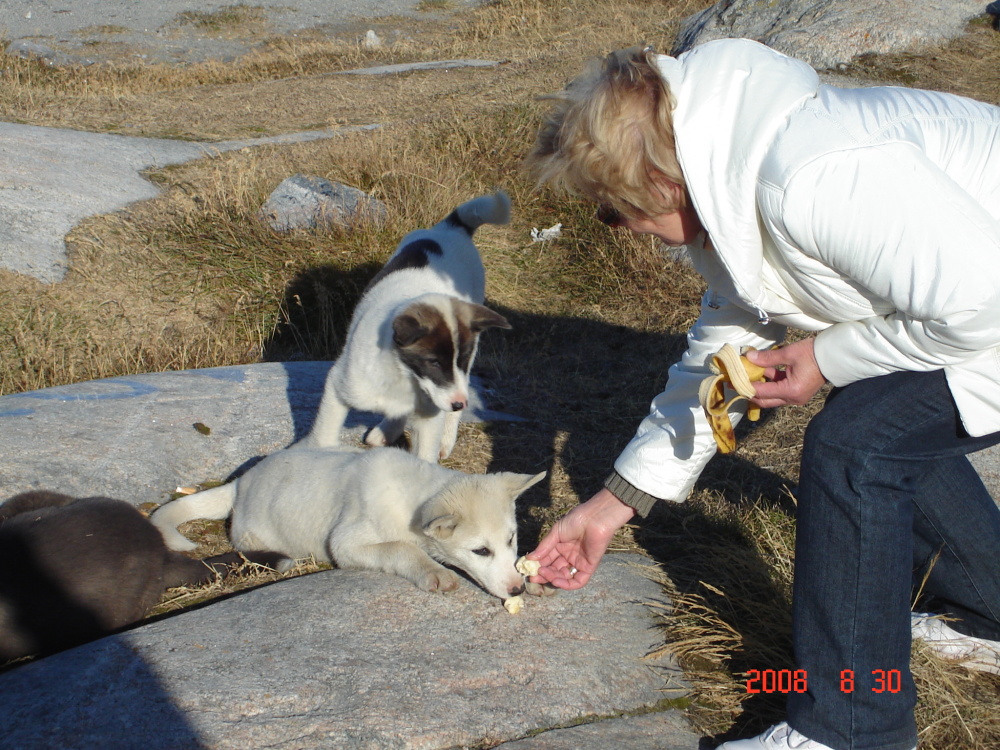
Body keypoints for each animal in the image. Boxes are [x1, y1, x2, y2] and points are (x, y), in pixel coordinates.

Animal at [150, 450, 548, 604]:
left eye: (511, 539)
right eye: (480, 550)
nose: (516, 590)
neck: (411, 495)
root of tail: (240, 483)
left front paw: (532, 575)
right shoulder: (344, 543)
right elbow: (401, 548)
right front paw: (433, 571)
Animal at [300, 192, 512, 464]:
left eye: (460, 360)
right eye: (433, 363)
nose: (459, 404)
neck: (403, 375)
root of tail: (451, 227)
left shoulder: (433, 412)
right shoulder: (339, 386)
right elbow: (324, 433)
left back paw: (443, 438)